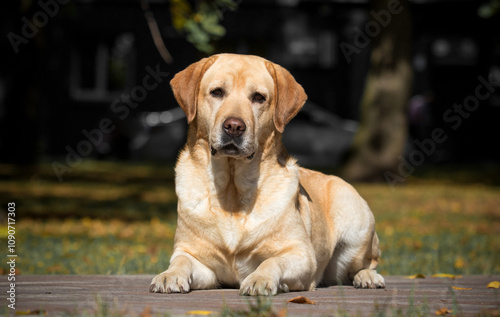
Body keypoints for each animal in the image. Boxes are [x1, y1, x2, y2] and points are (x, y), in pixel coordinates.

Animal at [148, 53, 382, 296]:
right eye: (217, 92)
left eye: (258, 97)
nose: (234, 126)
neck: (232, 195)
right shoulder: (197, 259)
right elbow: (181, 260)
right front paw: (169, 275)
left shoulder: (302, 255)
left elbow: (271, 261)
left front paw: (259, 279)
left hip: (356, 229)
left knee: (366, 264)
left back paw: (368, 277)